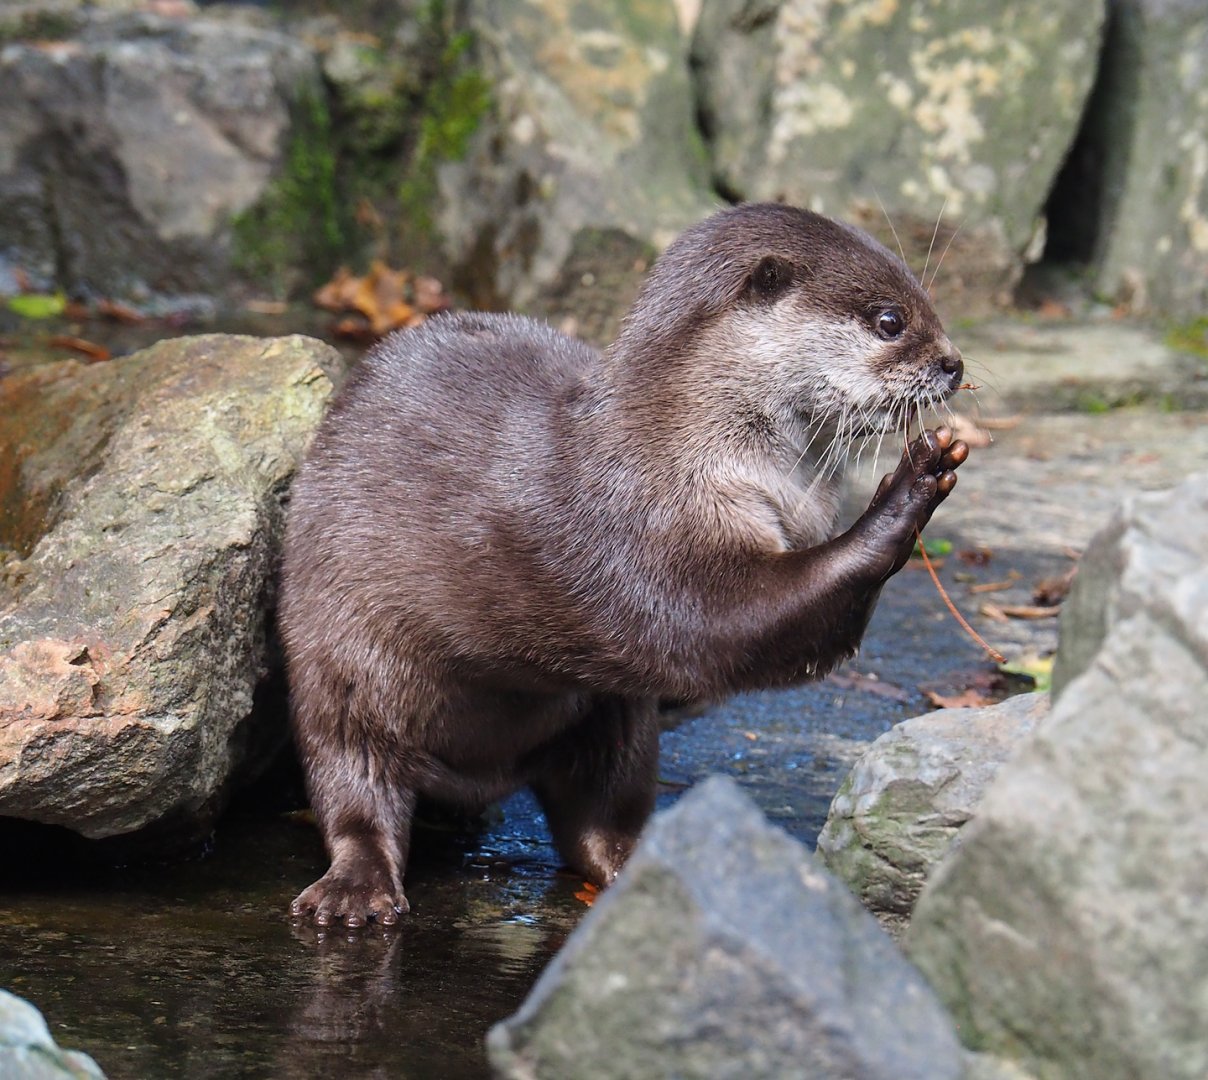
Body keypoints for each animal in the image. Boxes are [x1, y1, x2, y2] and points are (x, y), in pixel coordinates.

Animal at [281, 203, 968, 927]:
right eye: (890, 320)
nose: (953, 363)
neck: (685, 451)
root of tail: (482, 773)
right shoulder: (640, 533)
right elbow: (725, 624)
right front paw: (911, 485)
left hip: (612, 714)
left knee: (600, 808)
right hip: (340, 662)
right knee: (354, 778)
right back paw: (355, 892)